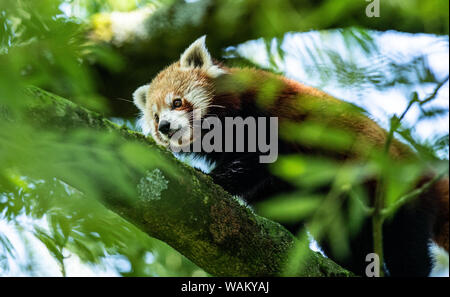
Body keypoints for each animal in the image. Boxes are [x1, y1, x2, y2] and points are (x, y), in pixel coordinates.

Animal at [134, 36, 450, 276]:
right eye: (155, 117)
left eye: (177, 102)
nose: (164, 127)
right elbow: (278, 196)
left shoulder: (265, 117)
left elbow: (256, 162)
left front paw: (213, 178)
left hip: (397, 194)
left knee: (407, 248)